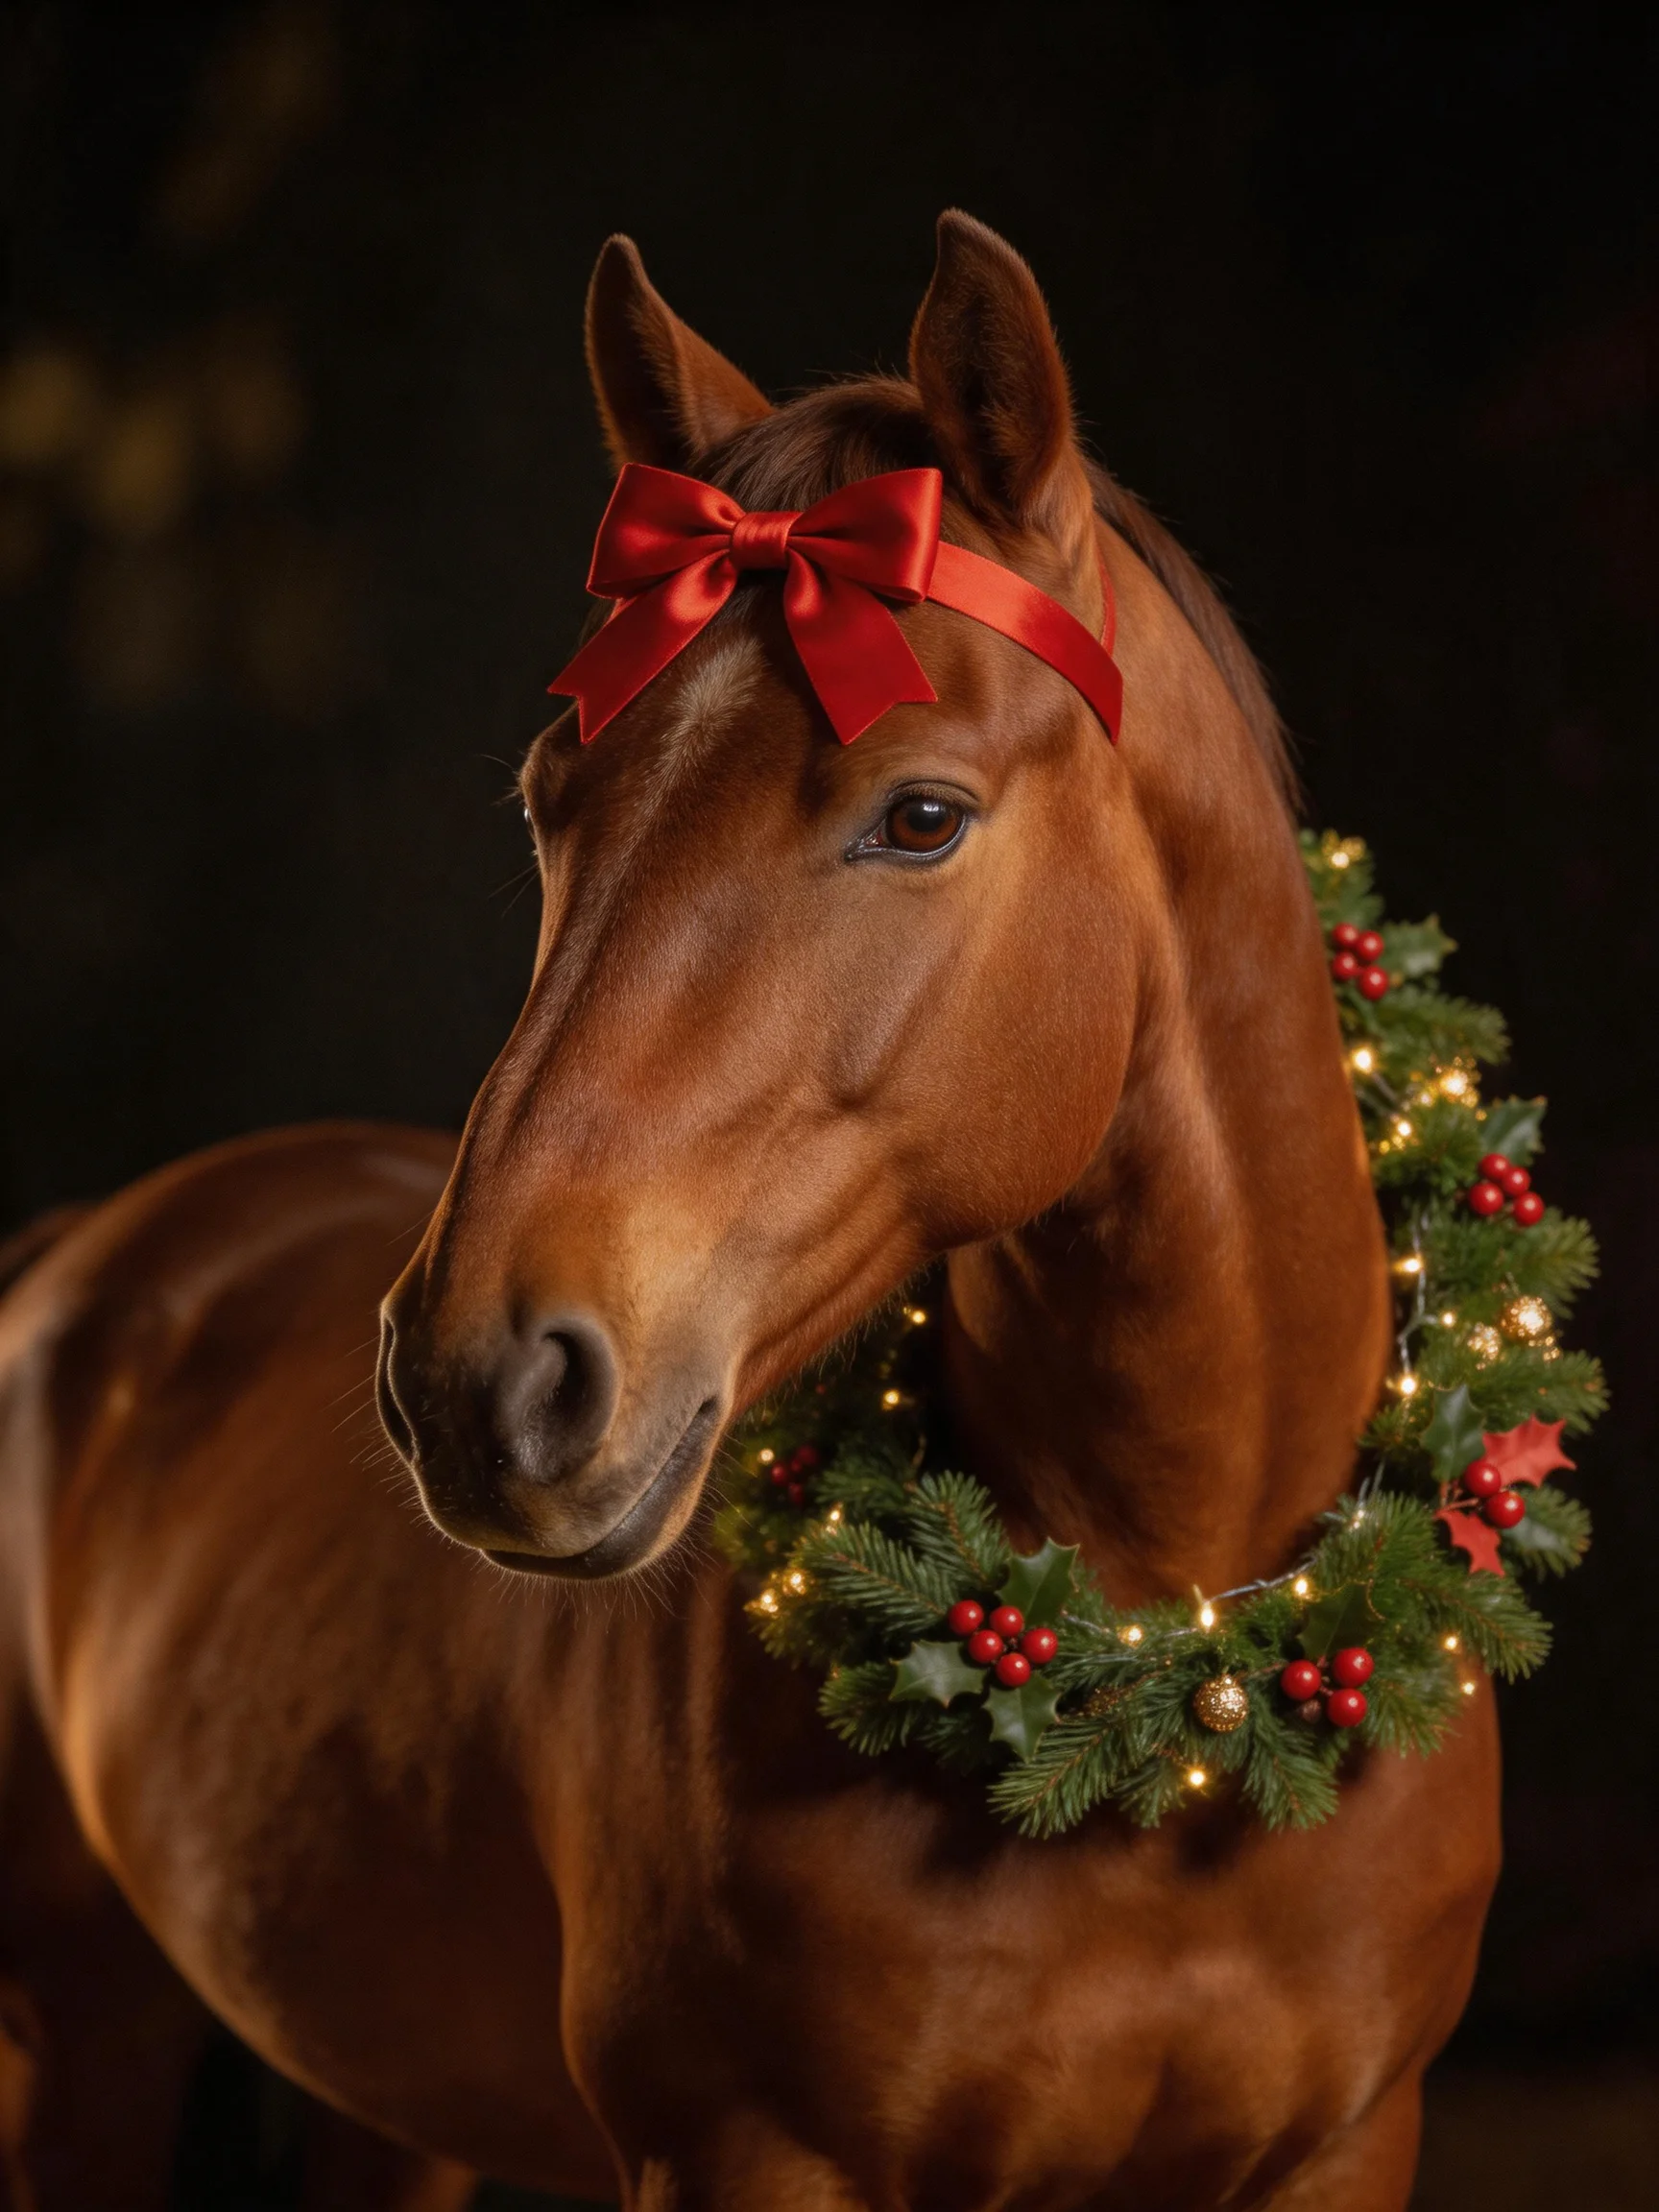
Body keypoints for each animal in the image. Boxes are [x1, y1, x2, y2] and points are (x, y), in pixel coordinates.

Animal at [0, 212, 1499, 2210]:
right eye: (549, 798)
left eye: (921, 813)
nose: (477, 1381)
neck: (1170, 1698)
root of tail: (91, 1255)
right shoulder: (747, 2152)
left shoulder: (1345, 2144)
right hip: (74, 2033)